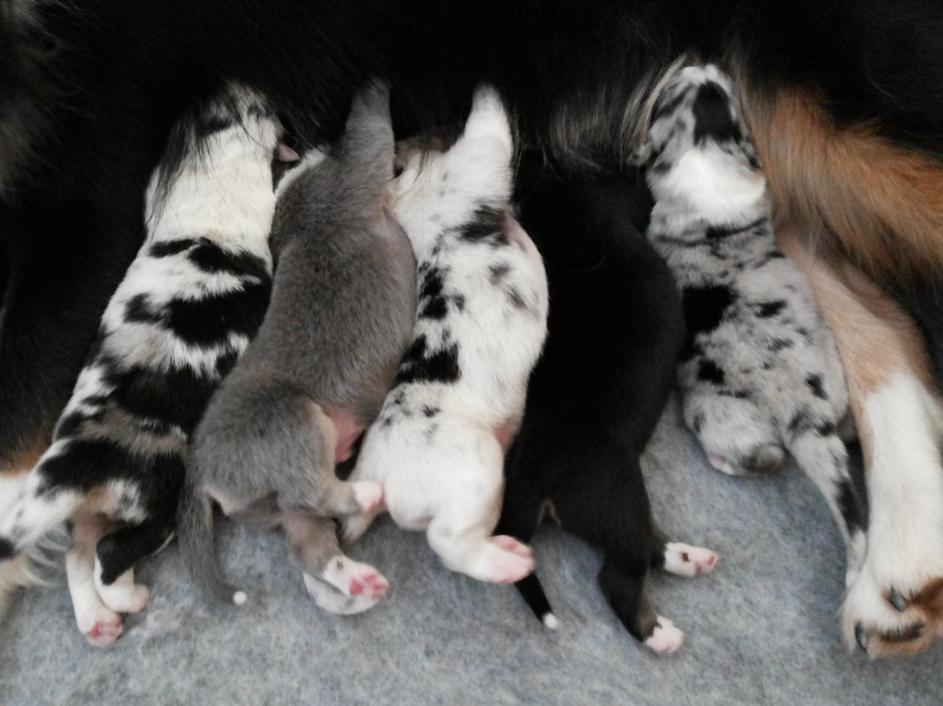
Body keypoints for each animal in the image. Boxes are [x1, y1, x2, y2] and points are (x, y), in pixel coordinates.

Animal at [0, 82, 281, 644]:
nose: (240, 82)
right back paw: (130, 597)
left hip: (87, 515)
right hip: (155, 508)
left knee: (78, 556)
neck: (210, 213)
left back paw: (99, 622)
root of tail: (76, 463)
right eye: (249, 112)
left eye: (214, 110)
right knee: (108, 556)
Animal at [178, 83, 415, 612]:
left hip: (278, 502)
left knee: (309, 538)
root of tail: (199, 465)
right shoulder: (351, 168)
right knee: (321, 492)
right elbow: (370, 128)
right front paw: (374, 85)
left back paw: (356, 580)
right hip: (298, 424)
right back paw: (365, 496)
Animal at [342, 86, 548, 585]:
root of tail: (373, 474)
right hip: (477, 467)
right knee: (450, 545)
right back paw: (508, 561)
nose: (442, 120)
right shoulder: (479, 155)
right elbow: (490, 122)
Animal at [642, 64, 867, 588]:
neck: (706, 167)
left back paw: (722, 461)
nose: (700, 64)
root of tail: (802, 411)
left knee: (764, 458)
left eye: (668, 96)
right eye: (721, 99)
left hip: (715, 414)